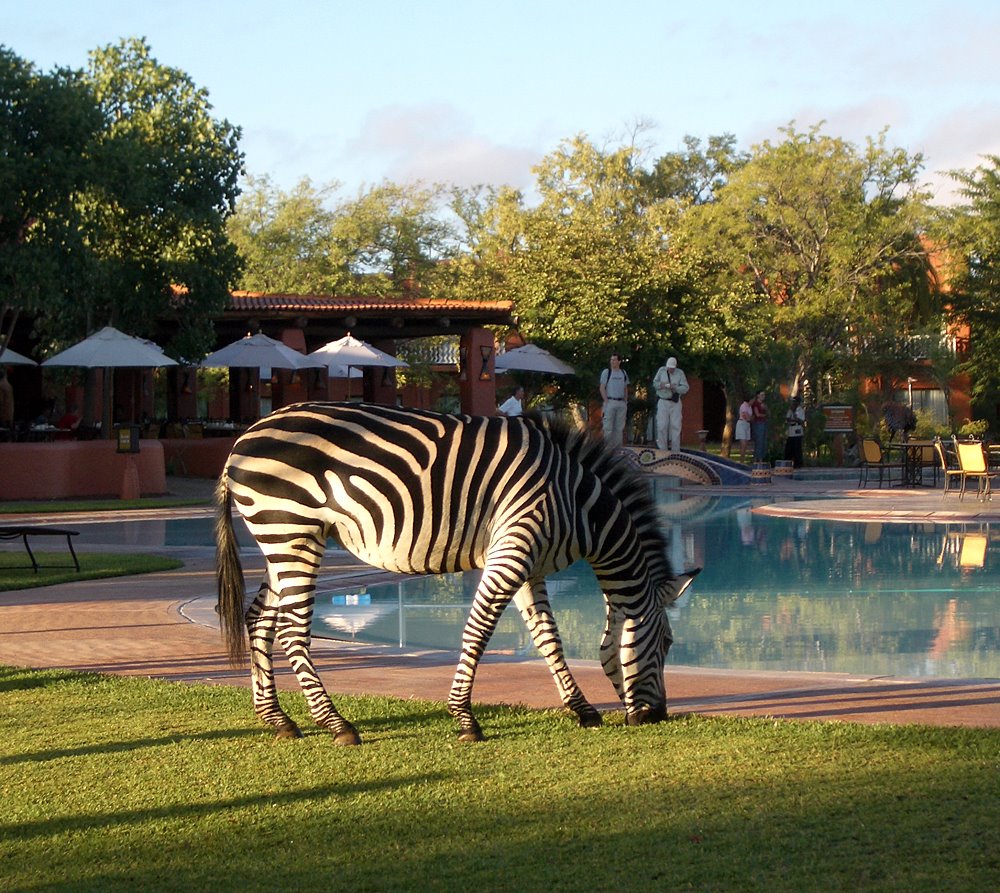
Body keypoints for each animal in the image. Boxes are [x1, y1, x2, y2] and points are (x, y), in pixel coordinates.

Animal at [215, 400, 700, 744]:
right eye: (668, 643)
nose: (657, 717)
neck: (578, 504)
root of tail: (243, 438)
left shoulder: (530, 566)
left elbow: (548, 639)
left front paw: (582, 710)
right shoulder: (512, 551)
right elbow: (478, 632)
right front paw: (465, 719)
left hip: (281, 541)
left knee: (259, 619)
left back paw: (277, 719)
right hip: (291, 532)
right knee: (292, 630)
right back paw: (337, 725)